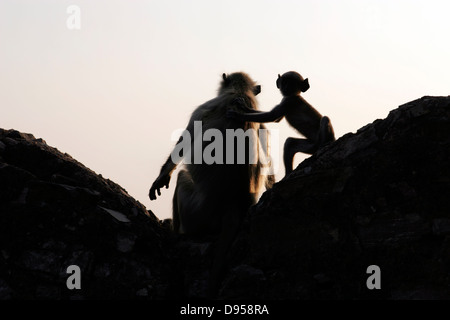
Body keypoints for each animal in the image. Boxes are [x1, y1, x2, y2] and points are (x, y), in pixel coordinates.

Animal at [149, 71, 272, 296]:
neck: (240, 92)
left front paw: (162, 176)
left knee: (182, 177)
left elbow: (184, 141)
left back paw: (174, 231)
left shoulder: (206, 106)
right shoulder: (261, 119)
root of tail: (233, 203)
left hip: (196, 212)